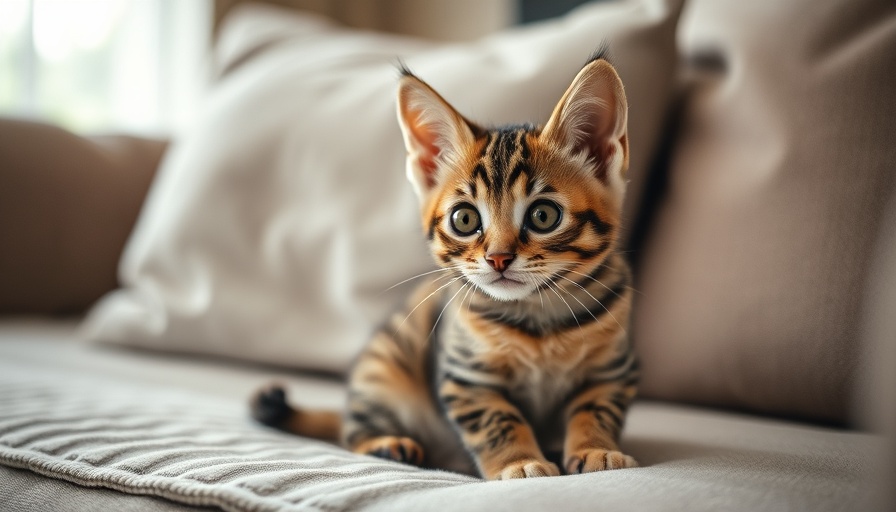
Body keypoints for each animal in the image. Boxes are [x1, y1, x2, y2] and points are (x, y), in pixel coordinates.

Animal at [254, 53, 636, 480]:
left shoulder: (612, 370)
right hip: (382, 367)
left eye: (543, 215)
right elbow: (498, 421)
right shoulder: (466, 378)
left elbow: (596, 409)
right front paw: (519, 462)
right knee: (352, 431)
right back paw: (386, 443)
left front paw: (596, 448)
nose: (498, 258)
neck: (538, 318)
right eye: (465, 219)